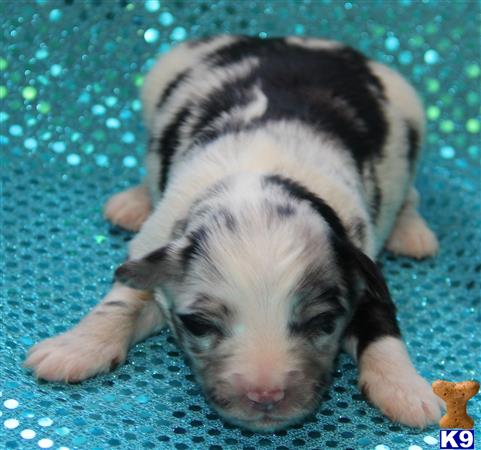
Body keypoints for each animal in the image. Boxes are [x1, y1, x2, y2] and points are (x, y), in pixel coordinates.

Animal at [25, 36, 442, 432]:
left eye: (323, 322)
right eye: (199, 325)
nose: (266, 395)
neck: (259, 175)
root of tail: (296, 40)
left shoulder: (361, 263)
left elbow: (381, 326)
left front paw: (405, 390)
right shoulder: (155, 248)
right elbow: (121, 301)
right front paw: (75, 348)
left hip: (414, 115)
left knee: (413, 194)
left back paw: (412, 232)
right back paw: (132, 202)